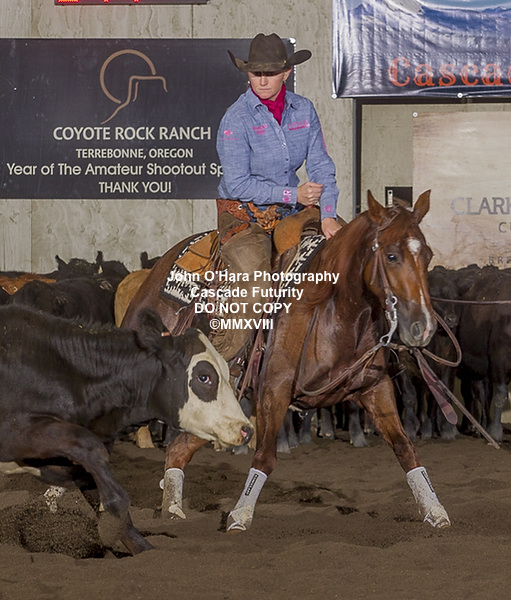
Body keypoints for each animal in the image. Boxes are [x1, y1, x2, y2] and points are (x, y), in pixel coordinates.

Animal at [122, 190, 451, 531]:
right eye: (391, 256)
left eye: (427, 254)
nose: (423, 326)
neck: (333, 307)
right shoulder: (273, 389)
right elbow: (265, 456)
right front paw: (240, 516)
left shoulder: (375, 388)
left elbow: (405, 448)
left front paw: (435, 510)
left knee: (178, 450)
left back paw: (172, 509)